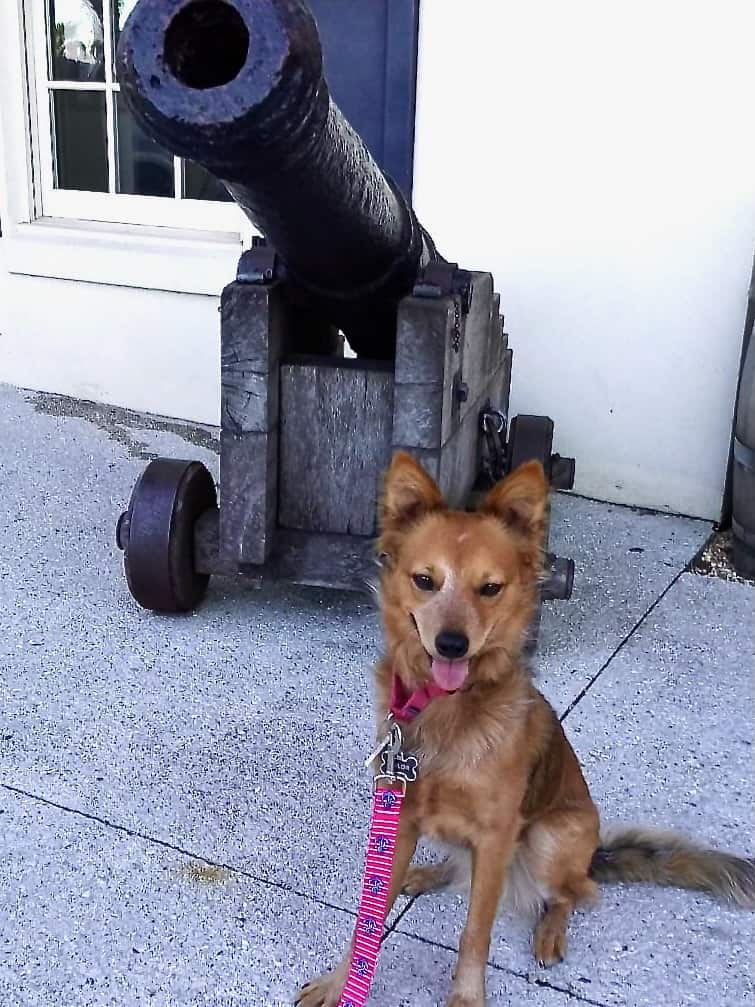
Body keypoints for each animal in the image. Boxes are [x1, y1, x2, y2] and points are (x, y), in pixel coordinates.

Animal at [297, 455, 755, 1007]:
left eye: (490, 588)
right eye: (425, 580)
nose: (452, 644)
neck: (447, 711)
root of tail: (591, 856)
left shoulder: (498, 835)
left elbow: (476, 930)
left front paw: (466, 997)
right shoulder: (399, 817)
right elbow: (371, 913)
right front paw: (341, 980)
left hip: (547, 838)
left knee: (572, 894)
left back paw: (550, 930)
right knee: (461, 867)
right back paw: (426, 874)